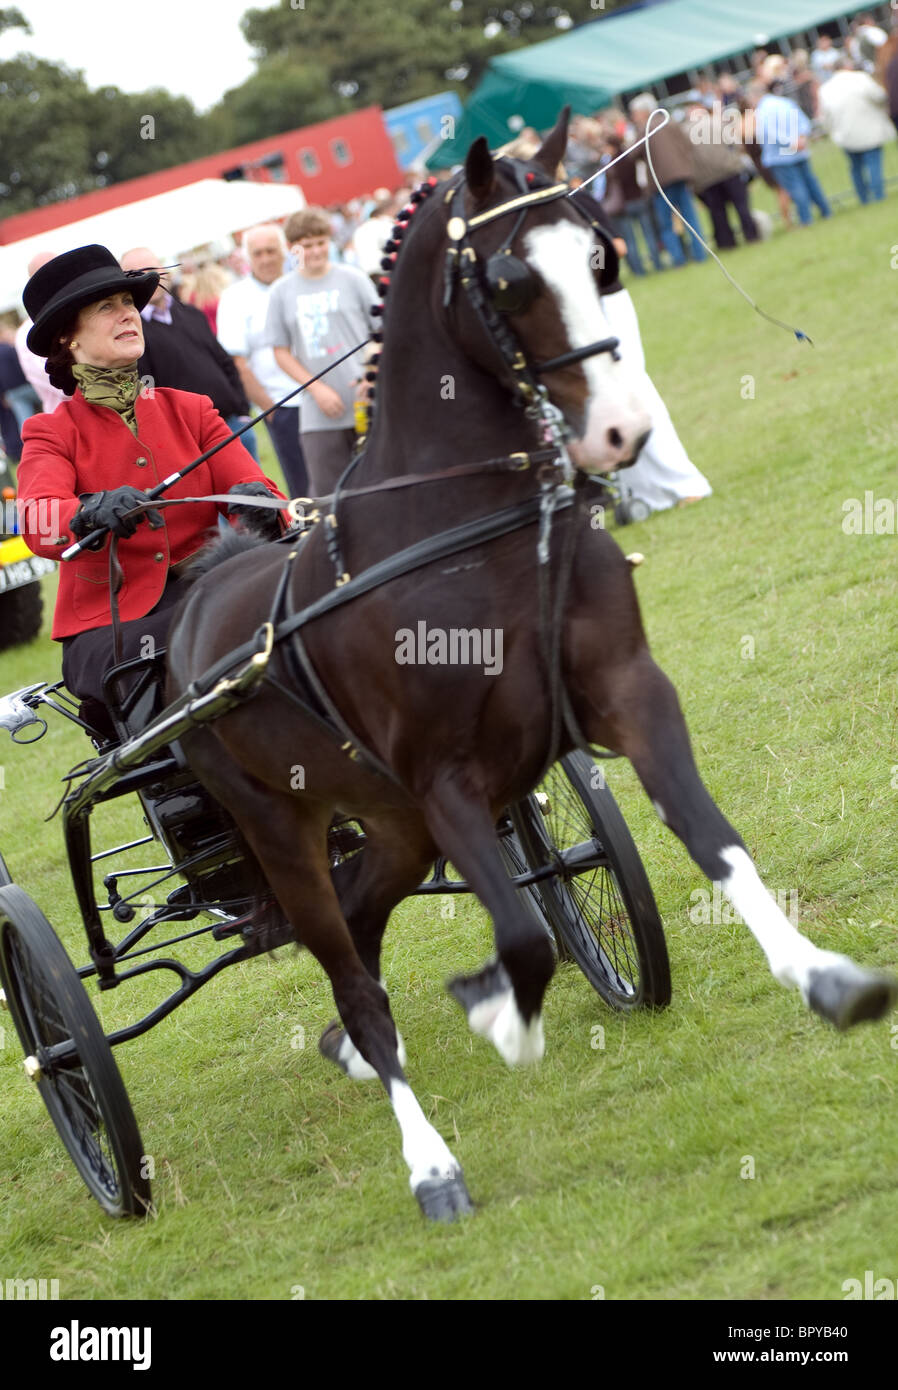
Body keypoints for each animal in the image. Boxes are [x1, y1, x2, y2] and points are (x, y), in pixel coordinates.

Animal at [165, 111, 895, 1217]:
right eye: (510, 280)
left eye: (603, 257)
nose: (622, 432)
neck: (470, 526)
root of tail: (195, 605)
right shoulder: (446, 780)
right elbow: (523, 936)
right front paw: (498, 1013)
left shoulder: (626, 695)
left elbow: (713, 839)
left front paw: (823, 977)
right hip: (285, 825)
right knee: (347, 966)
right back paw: (428, 1159)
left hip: (390, 822)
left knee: (363, 923)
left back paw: (355, 1051)